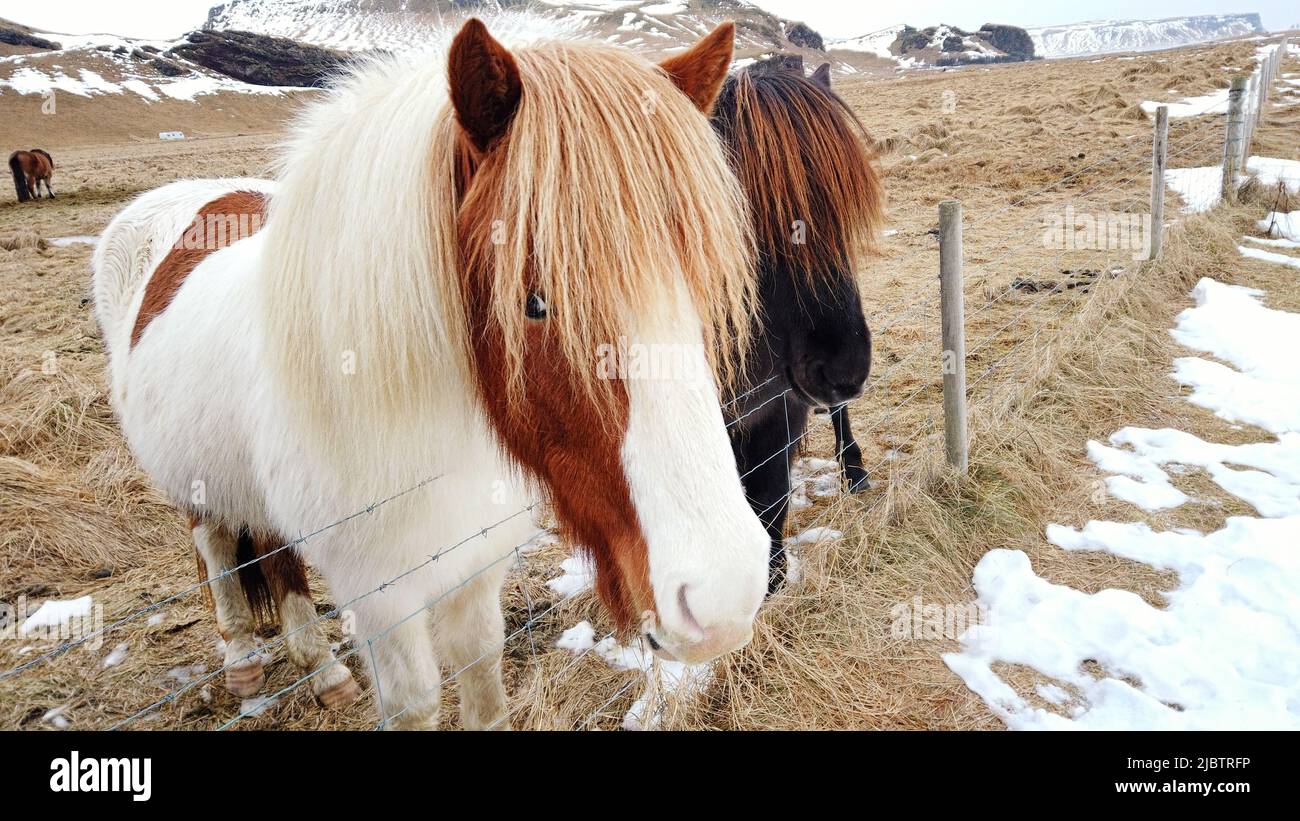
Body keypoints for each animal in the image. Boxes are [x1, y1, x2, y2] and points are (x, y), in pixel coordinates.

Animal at [94, 19, 769, 727]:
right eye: (533, 302)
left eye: (699, 283)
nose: (724, 595)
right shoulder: (381, 596)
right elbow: (415, 698)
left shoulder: (477, 566)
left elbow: (481, 670)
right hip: (194, 486)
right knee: (218, 549)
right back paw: (244, 660)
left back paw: (323, 669)